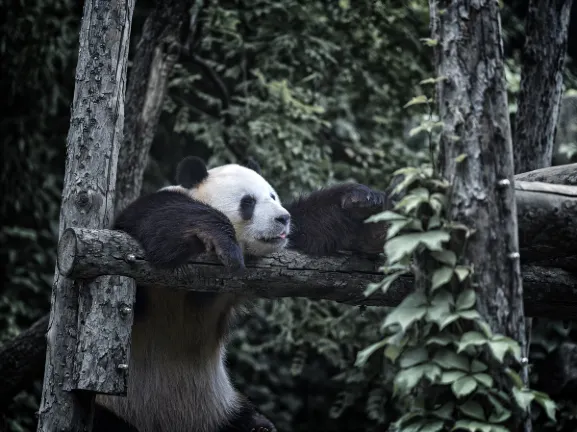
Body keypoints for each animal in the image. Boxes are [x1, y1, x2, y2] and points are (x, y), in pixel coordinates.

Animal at [91, 156, 388, 432]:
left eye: (273, 196)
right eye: (248, 202)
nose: (282, 218)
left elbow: (312, 228)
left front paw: (364, 205)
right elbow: (160, 221)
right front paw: (221, 238)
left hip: (220, 410)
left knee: (251, 423)